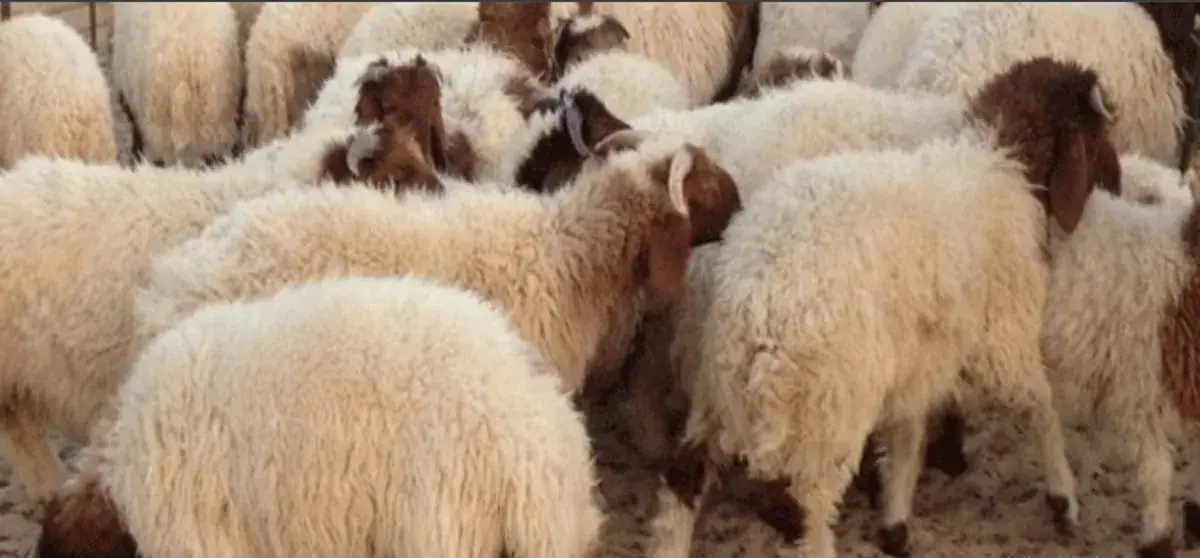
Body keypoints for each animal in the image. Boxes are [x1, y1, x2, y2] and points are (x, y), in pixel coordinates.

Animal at [640, 57, 1119, 558]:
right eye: (1098, 135)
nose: (1118, 183)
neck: (1001, 161)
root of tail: (757, 308)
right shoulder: (1001, 340)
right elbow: (1042, 404)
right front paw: (1064, 498)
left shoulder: (919, 354)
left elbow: (908, 435)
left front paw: (895, 518)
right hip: (831, 407)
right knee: (809, 502)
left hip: (718, 390)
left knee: (684, 479)